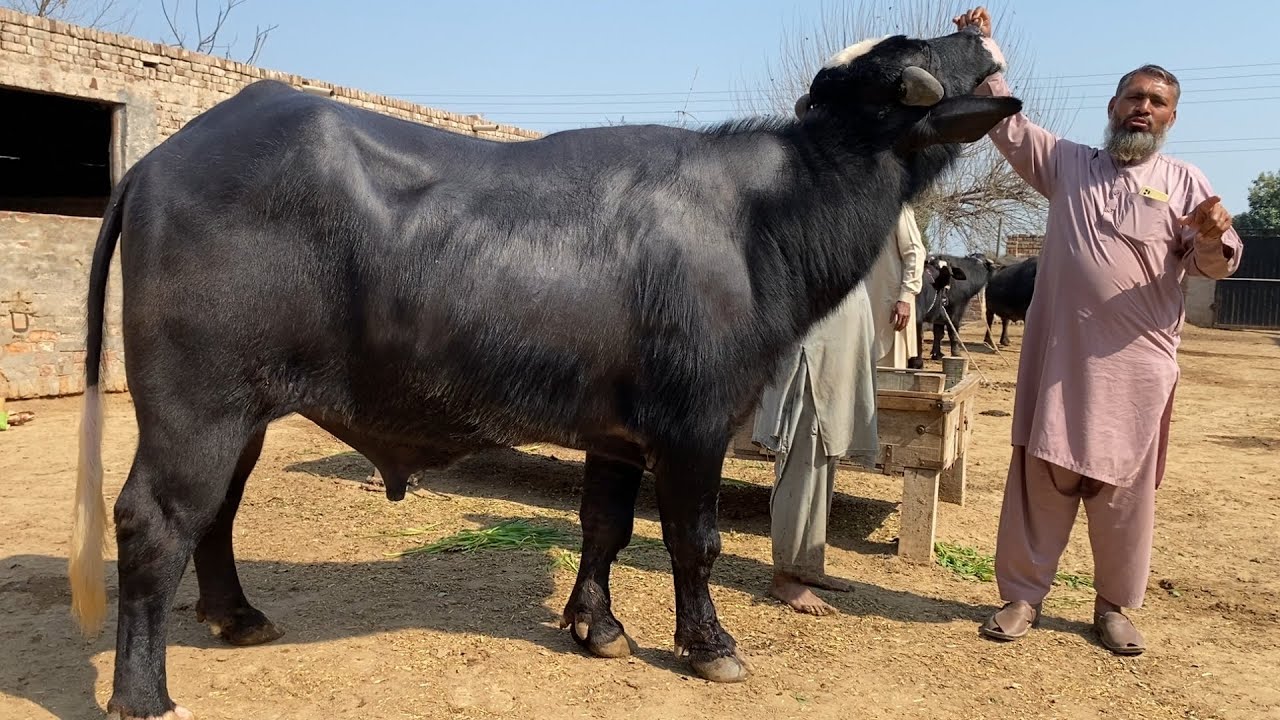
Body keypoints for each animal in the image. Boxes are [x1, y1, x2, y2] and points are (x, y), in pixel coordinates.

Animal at [68, 27, 1017, 719]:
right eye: (913, 57)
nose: (979, 29)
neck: (759, 221)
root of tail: (157, 163)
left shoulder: (617, 433)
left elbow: (605, 527)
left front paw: (596, 625)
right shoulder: (693, 426)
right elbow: (695, 541)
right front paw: (709, 647)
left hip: (244, 414)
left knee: (217, 513)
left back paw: (237, 617)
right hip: (195, 406)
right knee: (155, 520)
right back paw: (143, 695)